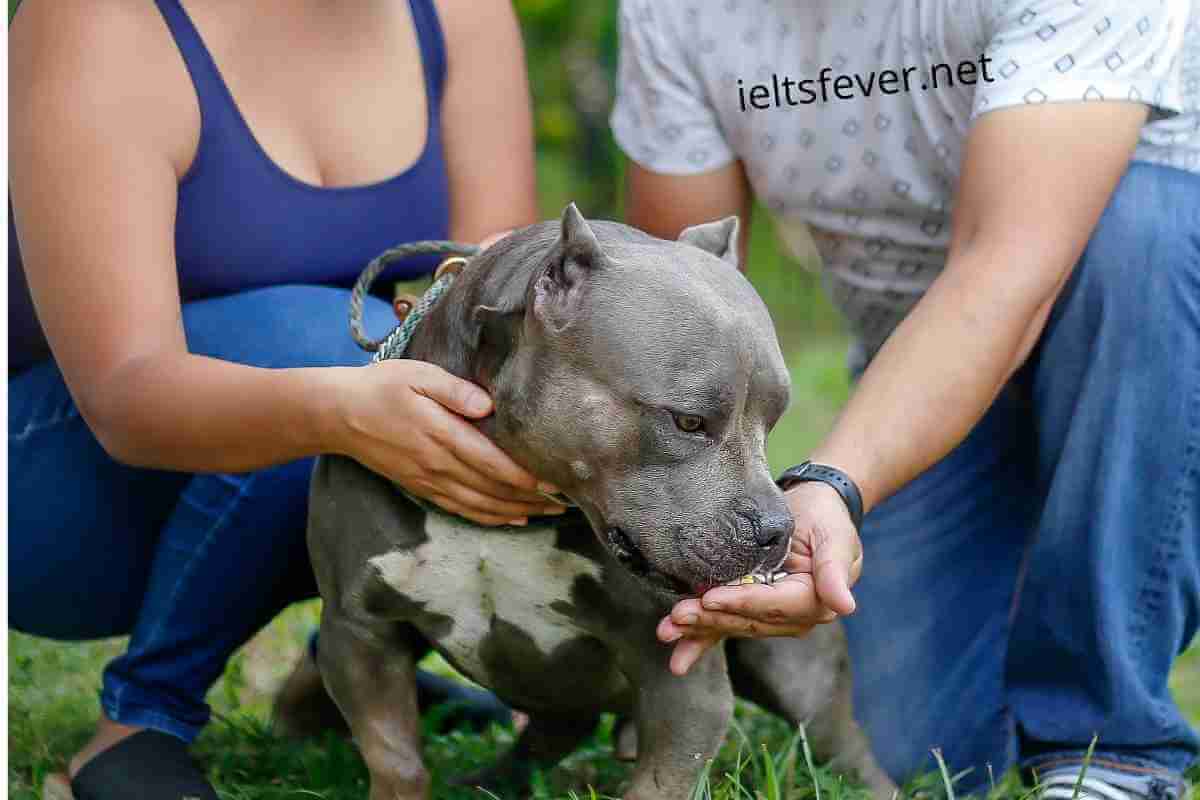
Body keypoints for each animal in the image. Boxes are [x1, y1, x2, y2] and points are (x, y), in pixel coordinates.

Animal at [304, 208, 897, 800]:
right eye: (688, 421)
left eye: (771, 423)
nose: (778, 531)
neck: (505, 526)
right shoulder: (358, 631)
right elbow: (395, 757)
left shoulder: (682, 680)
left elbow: (657, 784)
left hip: (804, 682)